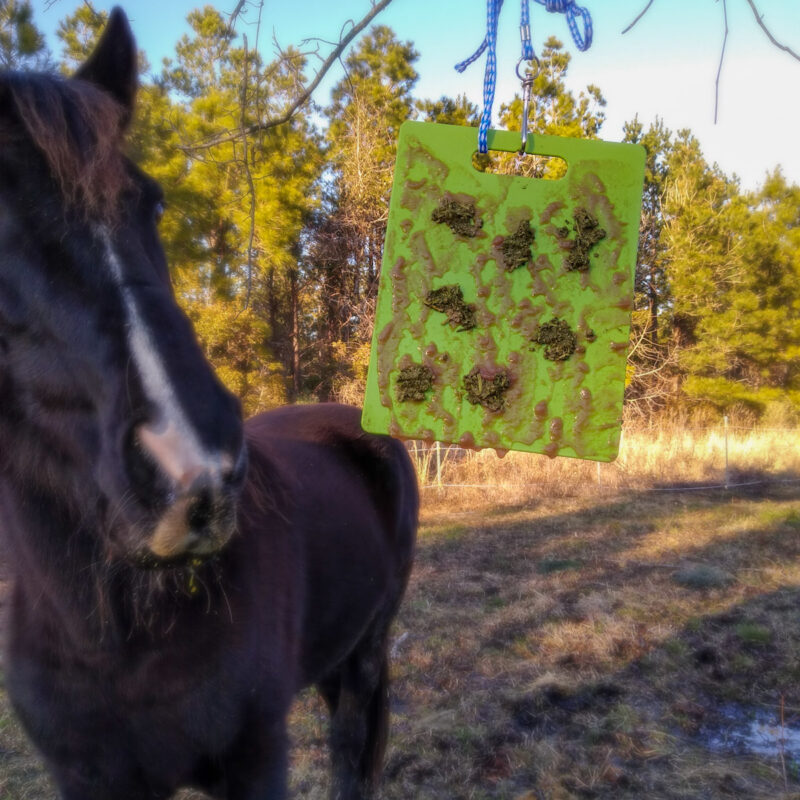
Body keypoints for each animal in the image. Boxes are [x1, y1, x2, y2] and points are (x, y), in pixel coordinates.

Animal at [1, 7, 418, 800]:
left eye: (152, 203)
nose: (194, 469)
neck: (115, 635)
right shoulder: (91, 778)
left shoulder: (256, 758)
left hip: (365, 656)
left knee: (351, 756)